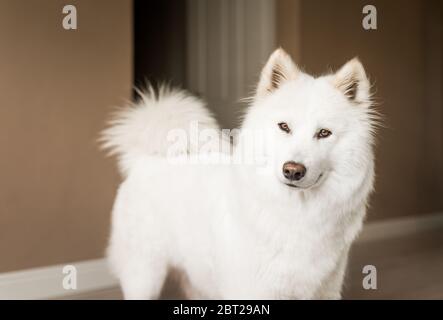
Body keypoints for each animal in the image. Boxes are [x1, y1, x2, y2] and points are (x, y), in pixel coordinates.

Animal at [102, 48, 380, 298]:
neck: (296, 213)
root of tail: (147, 159)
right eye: (284, 127)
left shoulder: (325, 290)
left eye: (324, 133)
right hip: (144, 276)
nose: (292, 170)